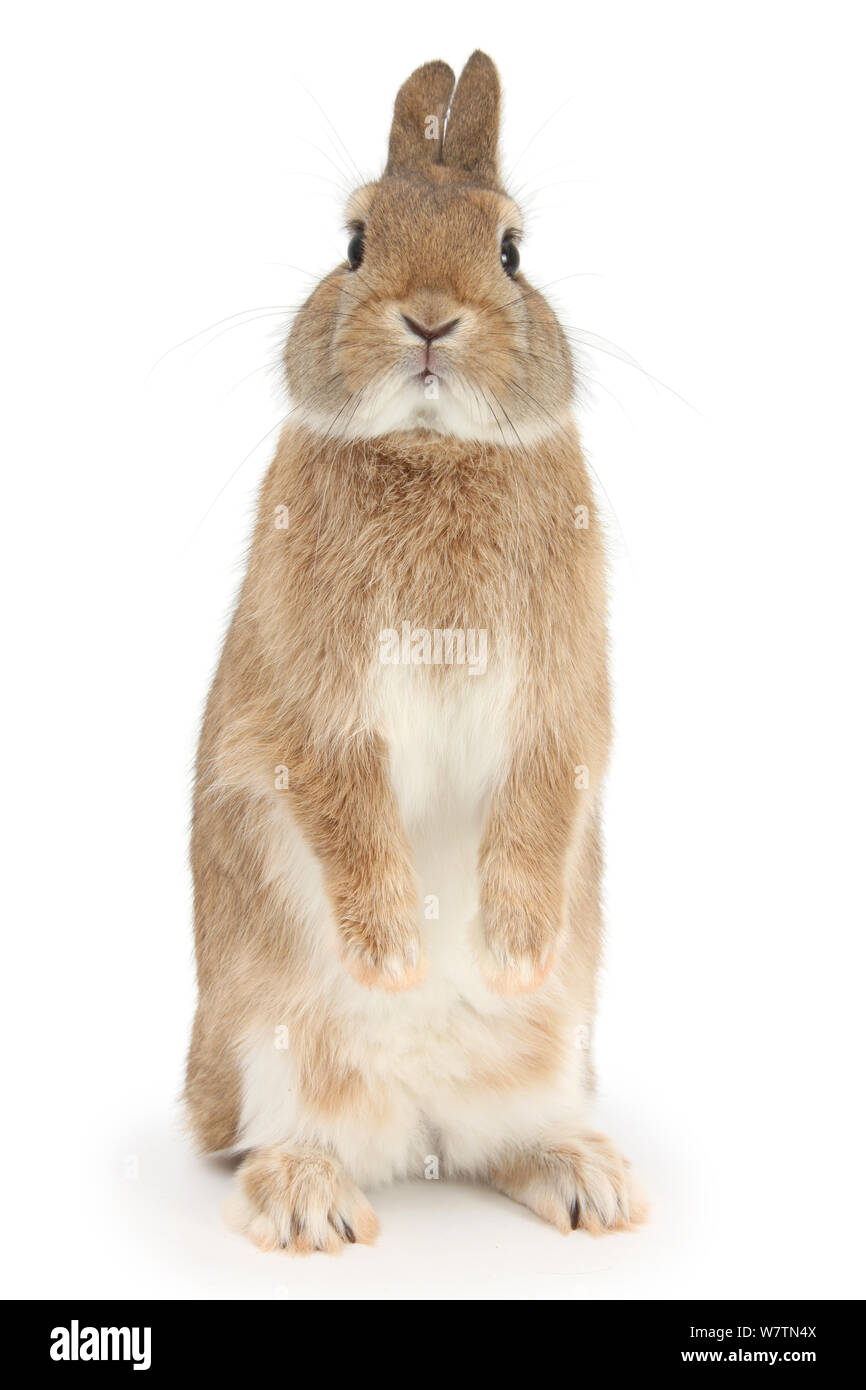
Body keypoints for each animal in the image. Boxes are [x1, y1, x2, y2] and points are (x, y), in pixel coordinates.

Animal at [186, 51, 647, 1251]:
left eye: (510, 250)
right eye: (354, 242)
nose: (430, 320)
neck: (436, 449)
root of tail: (419, 1120)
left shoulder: (560, 701)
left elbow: (541, 796)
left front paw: (510, 951)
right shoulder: (312, 708)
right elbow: (342, 800)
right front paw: (394, 955)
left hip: (549, 1051)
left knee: (502, 1137)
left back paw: (588, 1182)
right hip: (265, 1037)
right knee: (283, 1133)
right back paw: (309, 1202)